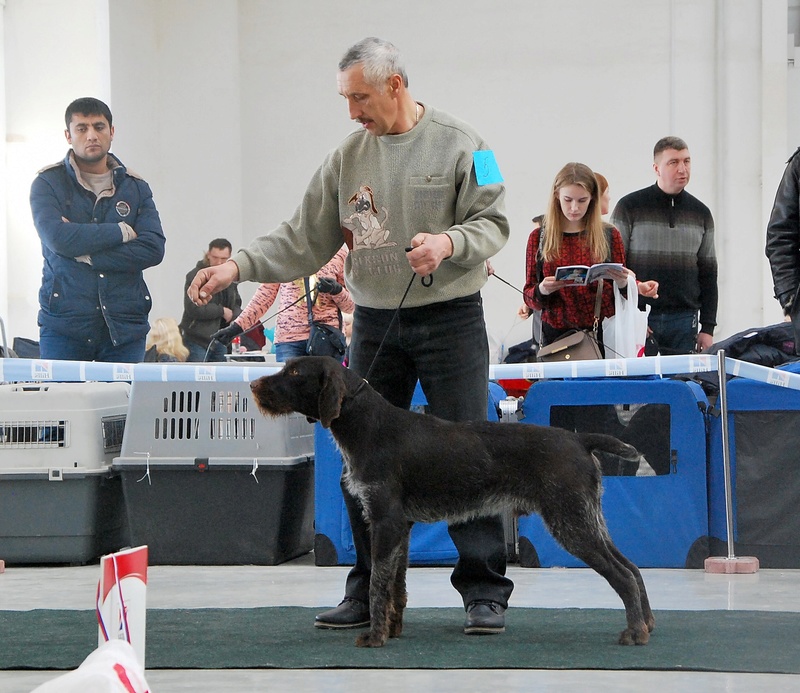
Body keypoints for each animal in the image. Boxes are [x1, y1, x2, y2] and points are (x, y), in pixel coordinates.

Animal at [250, 356, 656, 648]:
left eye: (295, 371)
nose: (253, 384)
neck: (367, 425)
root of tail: (579, 439)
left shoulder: (384, 520)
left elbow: (378, 583)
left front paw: (376, 636)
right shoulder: (401, 527)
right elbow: (396, 584)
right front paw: (393, 629)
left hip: (570, 522)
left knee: (622, 574)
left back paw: (635, 632)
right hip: (586, 518)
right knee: (633, 568)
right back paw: (647, 622)